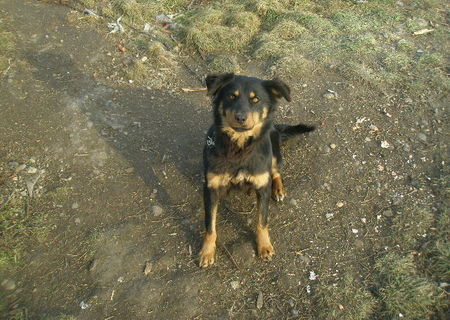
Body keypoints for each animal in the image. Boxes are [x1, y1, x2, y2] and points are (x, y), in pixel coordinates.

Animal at [199, 74, 314, 266]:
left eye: (256, 99)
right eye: (231, 96)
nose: (240, 117)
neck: (239, 148)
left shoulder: (262, 187)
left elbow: (262, 221)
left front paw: (264, 246)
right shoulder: (211, 189)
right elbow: (210, 226)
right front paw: (206, 252)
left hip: (274, 153)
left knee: (276, 172)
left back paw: (279, 189)